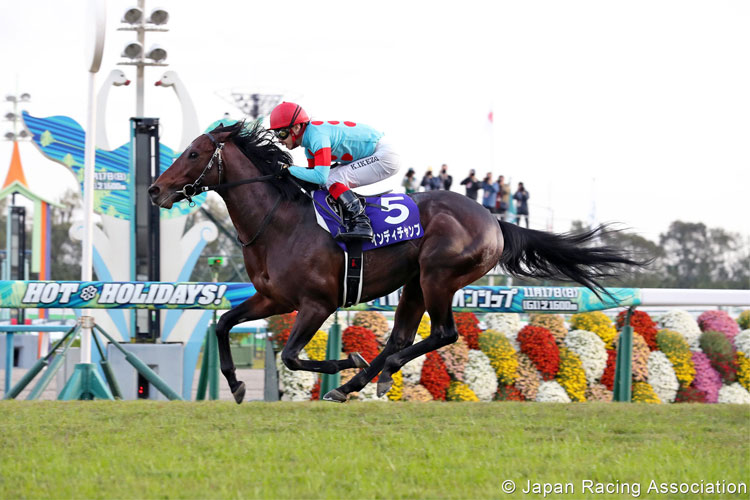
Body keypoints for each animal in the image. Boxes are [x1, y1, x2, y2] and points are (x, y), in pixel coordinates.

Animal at [148, 123, 648, 404]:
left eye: (193, 153)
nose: (154, 190)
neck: (280, 222)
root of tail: (493, 219)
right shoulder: (273, 298)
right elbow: (222, 324)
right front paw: (234, 386)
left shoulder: (317, 303)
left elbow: (290, 356)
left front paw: (345, 358)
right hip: (414, 284)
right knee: (400, 337)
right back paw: (360, 382)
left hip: (439, 275)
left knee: (442, 334)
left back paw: (368, 375)